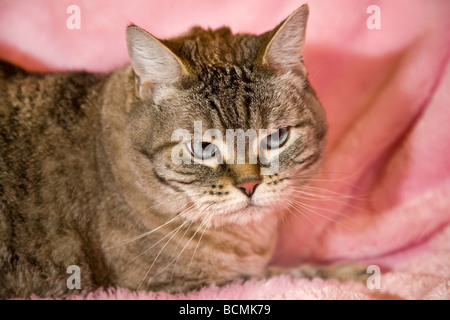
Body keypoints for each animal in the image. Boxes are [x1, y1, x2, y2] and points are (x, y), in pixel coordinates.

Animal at [0, 5, 366, 298]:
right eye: (203, 147)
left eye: (276, 138)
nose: (249, 185)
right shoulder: (175, 284)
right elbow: (286, 274)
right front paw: (353, 274)